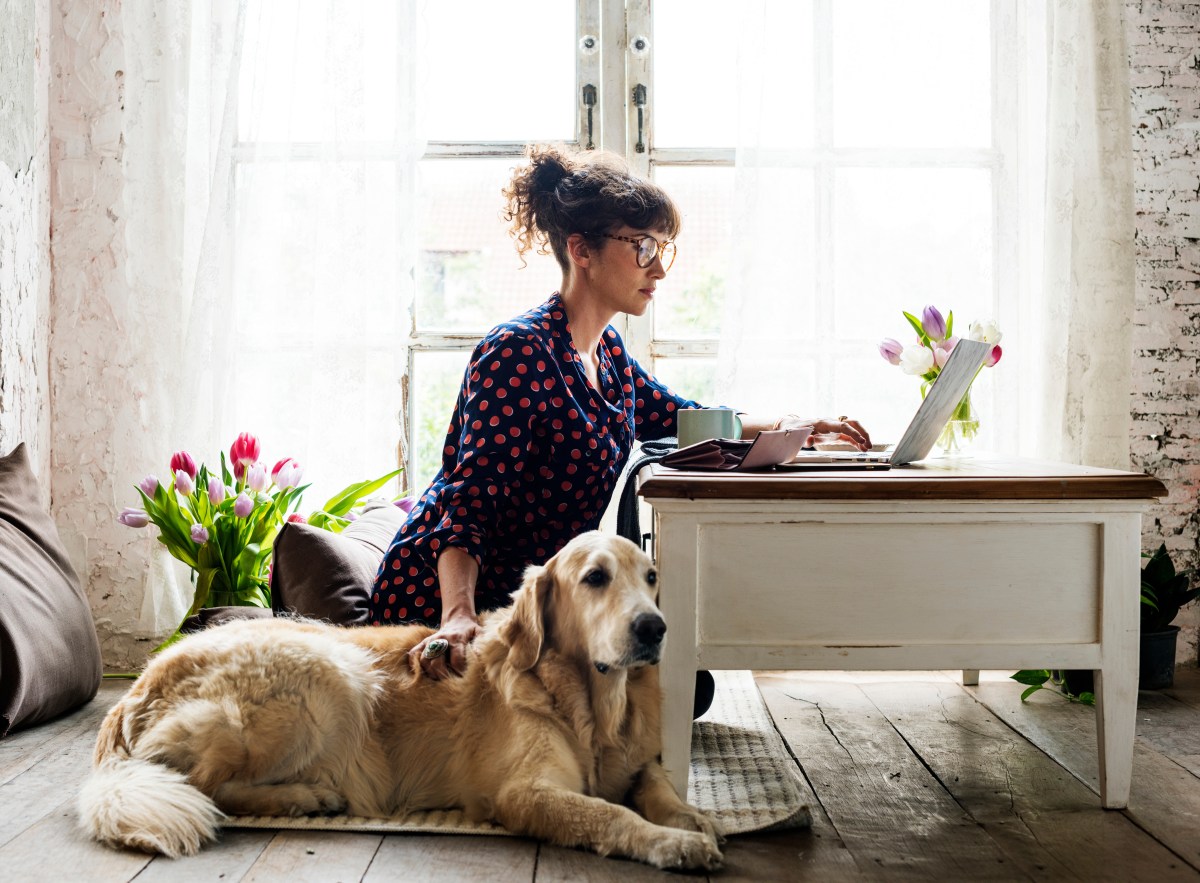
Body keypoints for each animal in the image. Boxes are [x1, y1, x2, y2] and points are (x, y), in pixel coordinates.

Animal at [82, 530, 729, 868]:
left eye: (651, 578)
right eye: (595, 578)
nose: (654, 628)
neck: (592, 703)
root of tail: (135, 689)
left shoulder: (639, 761)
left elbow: (657, 787)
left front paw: (693, 817)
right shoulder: (524, 792)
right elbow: (610, 813)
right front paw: (674, 843)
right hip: (331, 674)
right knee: (206, 787)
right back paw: (305, 797)